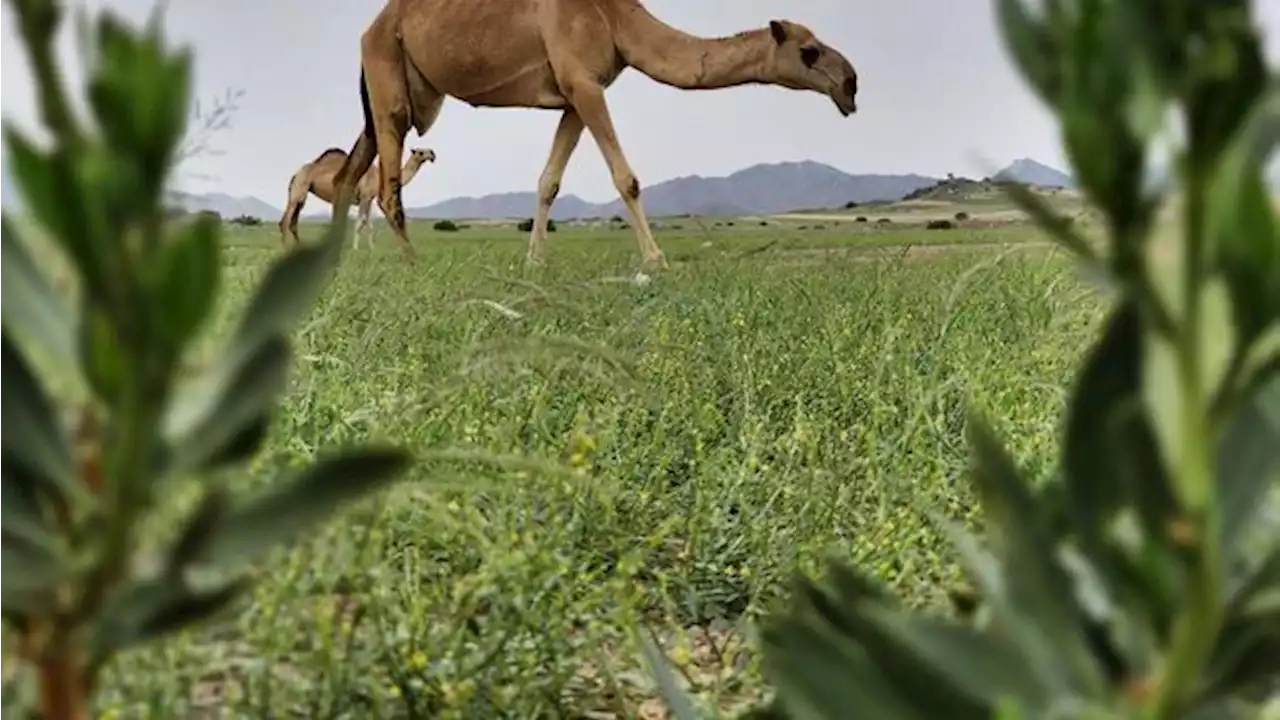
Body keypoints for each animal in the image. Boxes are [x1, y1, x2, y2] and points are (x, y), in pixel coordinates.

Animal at [330, 0, 860, 267]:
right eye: (810, 52)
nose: (851, 84)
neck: (617, 20)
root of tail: (369, 28)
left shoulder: (575, 94)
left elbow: (549, 181)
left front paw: (535, 261)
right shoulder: (583, 83)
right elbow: (626, 177)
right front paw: (655, 259)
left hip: (392, 90)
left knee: (349, 172)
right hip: (390, 79)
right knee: (386, 185)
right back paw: (413, 260)